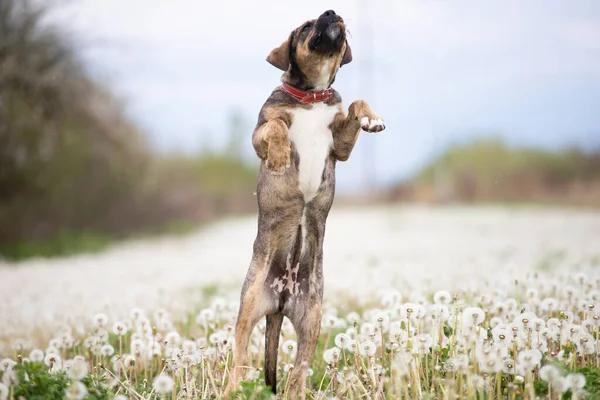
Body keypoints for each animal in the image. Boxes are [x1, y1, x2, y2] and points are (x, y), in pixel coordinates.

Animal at [227, 10, 386, 400]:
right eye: (304, 27)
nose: (332, 13)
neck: (313, 95)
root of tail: (283, 298)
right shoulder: (258, 134)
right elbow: (275, 126)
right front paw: (281, 156)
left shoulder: (340, 147)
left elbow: (356, 104)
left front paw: (372, 117)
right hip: (248, 307)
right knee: (239, 359)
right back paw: (234, 388)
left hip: (312, 320)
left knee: (299, 370)